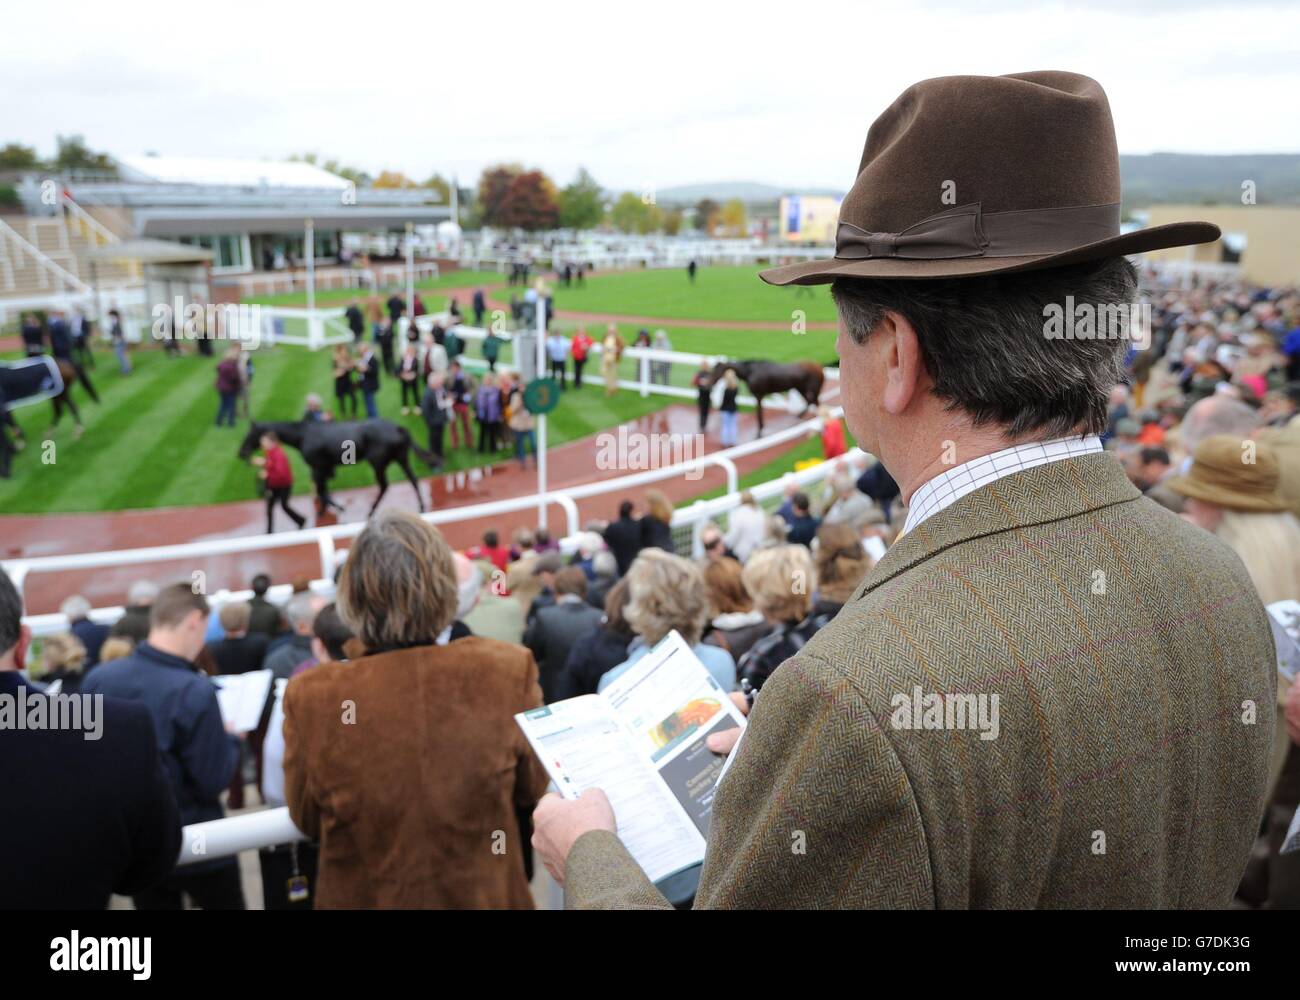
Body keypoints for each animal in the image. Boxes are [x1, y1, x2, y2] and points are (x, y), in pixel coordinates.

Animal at [233, 416, 436, 520]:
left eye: (250, 434)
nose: (241, 453)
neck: (303, 435)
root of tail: (399, 428)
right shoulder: (325, 467)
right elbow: (323, 489)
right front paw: (329, 508)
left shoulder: (318, 466)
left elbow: (321, 490)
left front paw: (328, 510)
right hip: (401, 458)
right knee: (413, 479)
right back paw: (421, 506)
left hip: (378, 462)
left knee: (384, 485)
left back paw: (371, 510)